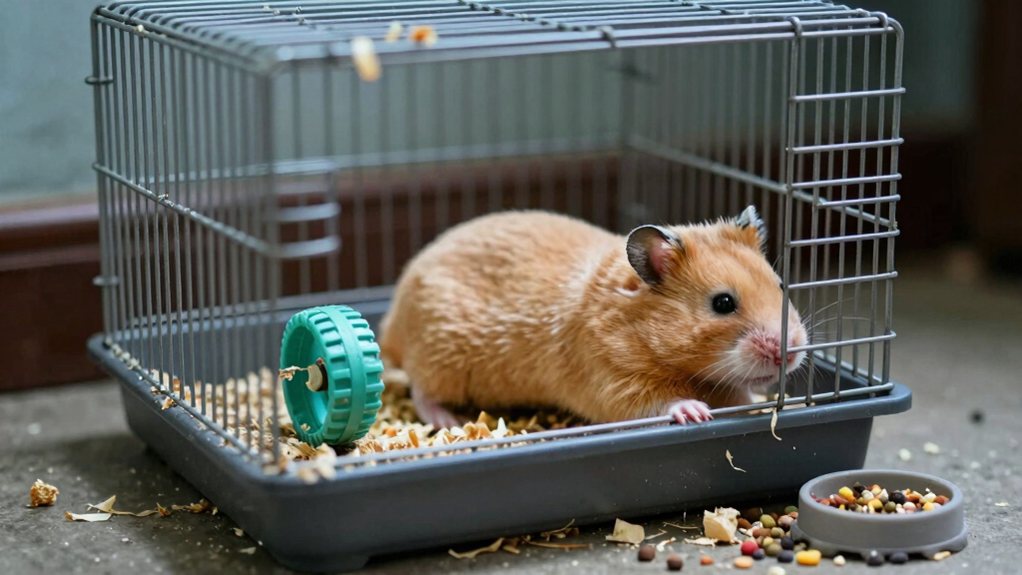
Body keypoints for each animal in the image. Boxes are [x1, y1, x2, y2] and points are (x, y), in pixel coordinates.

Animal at [378, 207, 808, 428]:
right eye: (722, 303)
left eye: (780, 285)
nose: (790, 353)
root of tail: (390, 323)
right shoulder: (613, 382)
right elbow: (658, 402)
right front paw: (695, 412)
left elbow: (740, 394)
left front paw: (758, 402)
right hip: (441, 357)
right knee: (420, 391)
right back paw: (448, 422)